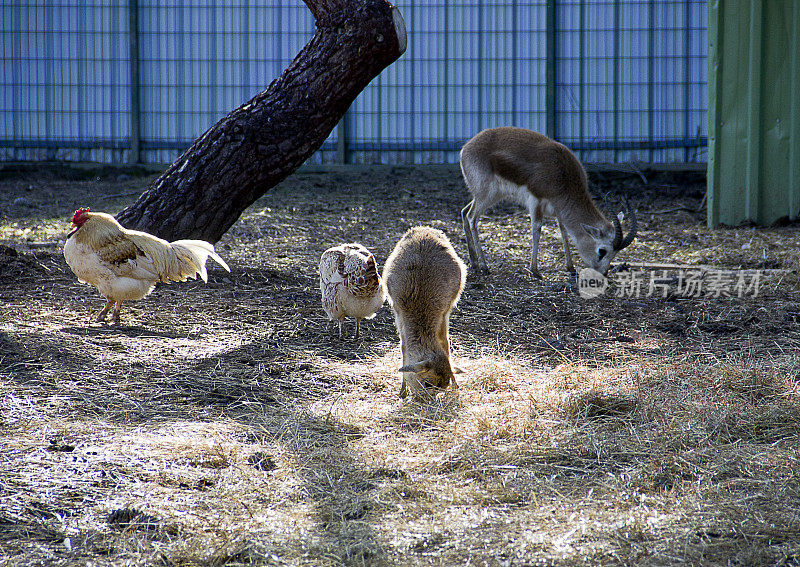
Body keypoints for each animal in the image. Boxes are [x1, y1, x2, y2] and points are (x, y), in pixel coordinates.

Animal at [382, 224, 466, 402]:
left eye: (443, 385)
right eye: (427, 383)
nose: (425, 401)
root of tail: (424, 228)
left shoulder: (443, 313)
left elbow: (446, 344)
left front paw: (456, 385)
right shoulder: (398, 313)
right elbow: (403, 348)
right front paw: (402, 392)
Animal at [456, 128, 636, 280]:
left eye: (615, 253)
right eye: (602, 251)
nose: (603, 274)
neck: (562, 175)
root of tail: (466, 148)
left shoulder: (558, 210)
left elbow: (563, 231)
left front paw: (570, 268)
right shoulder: (536, 201)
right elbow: (537, 229)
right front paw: (535, 270)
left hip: (490, 196)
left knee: (464, 212)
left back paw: (473, 263)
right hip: (486, 195)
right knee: (472, 218)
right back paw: (484, 266)